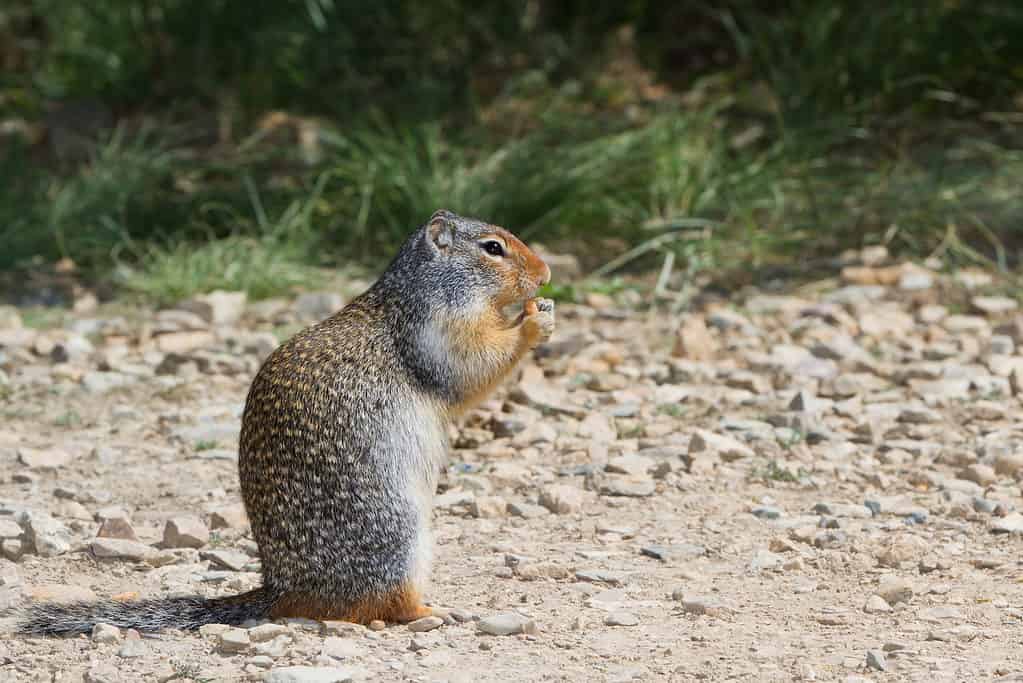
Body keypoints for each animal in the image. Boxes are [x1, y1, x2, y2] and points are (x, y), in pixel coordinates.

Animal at [15, 209, 556, 633]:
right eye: (493, 248)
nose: (547, 274)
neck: (417, 292)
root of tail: (279, 588)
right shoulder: (439, 331)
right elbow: (473, 367)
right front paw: (534, 318)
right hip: (398, 534)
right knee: (380, 604)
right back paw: (431, 611)